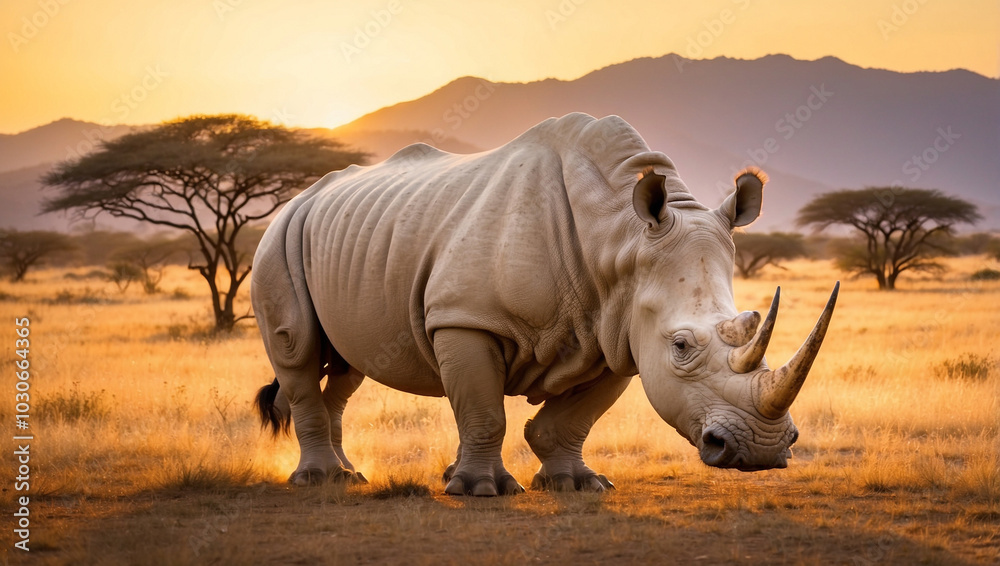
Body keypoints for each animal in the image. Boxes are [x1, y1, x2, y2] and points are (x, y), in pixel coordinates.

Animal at [252, 113, 838, 495]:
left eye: (750, 322)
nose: (761, 450)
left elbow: (575, 419)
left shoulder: (618, 328)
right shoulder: (467, 319)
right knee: (299, 350)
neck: (619, 239)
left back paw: (348, 474)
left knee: (348, 366)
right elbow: (484, 411)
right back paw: (320, 480)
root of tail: (301, 196)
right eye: (681, 346)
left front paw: (577, 484)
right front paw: (480, 490)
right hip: (279, 238)